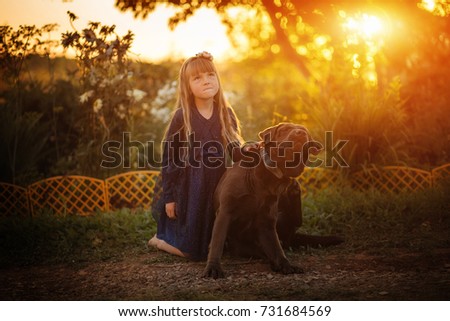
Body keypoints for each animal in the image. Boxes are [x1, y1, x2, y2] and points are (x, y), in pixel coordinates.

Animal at [202, 122, 340, 278]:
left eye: (306, 132)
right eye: (284, 129)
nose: (300, 133)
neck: (265, 176)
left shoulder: (267, 221)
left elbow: (276, 247)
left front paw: (285, 265)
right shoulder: (225, 212)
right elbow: (217, 243)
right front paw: (213, 267)